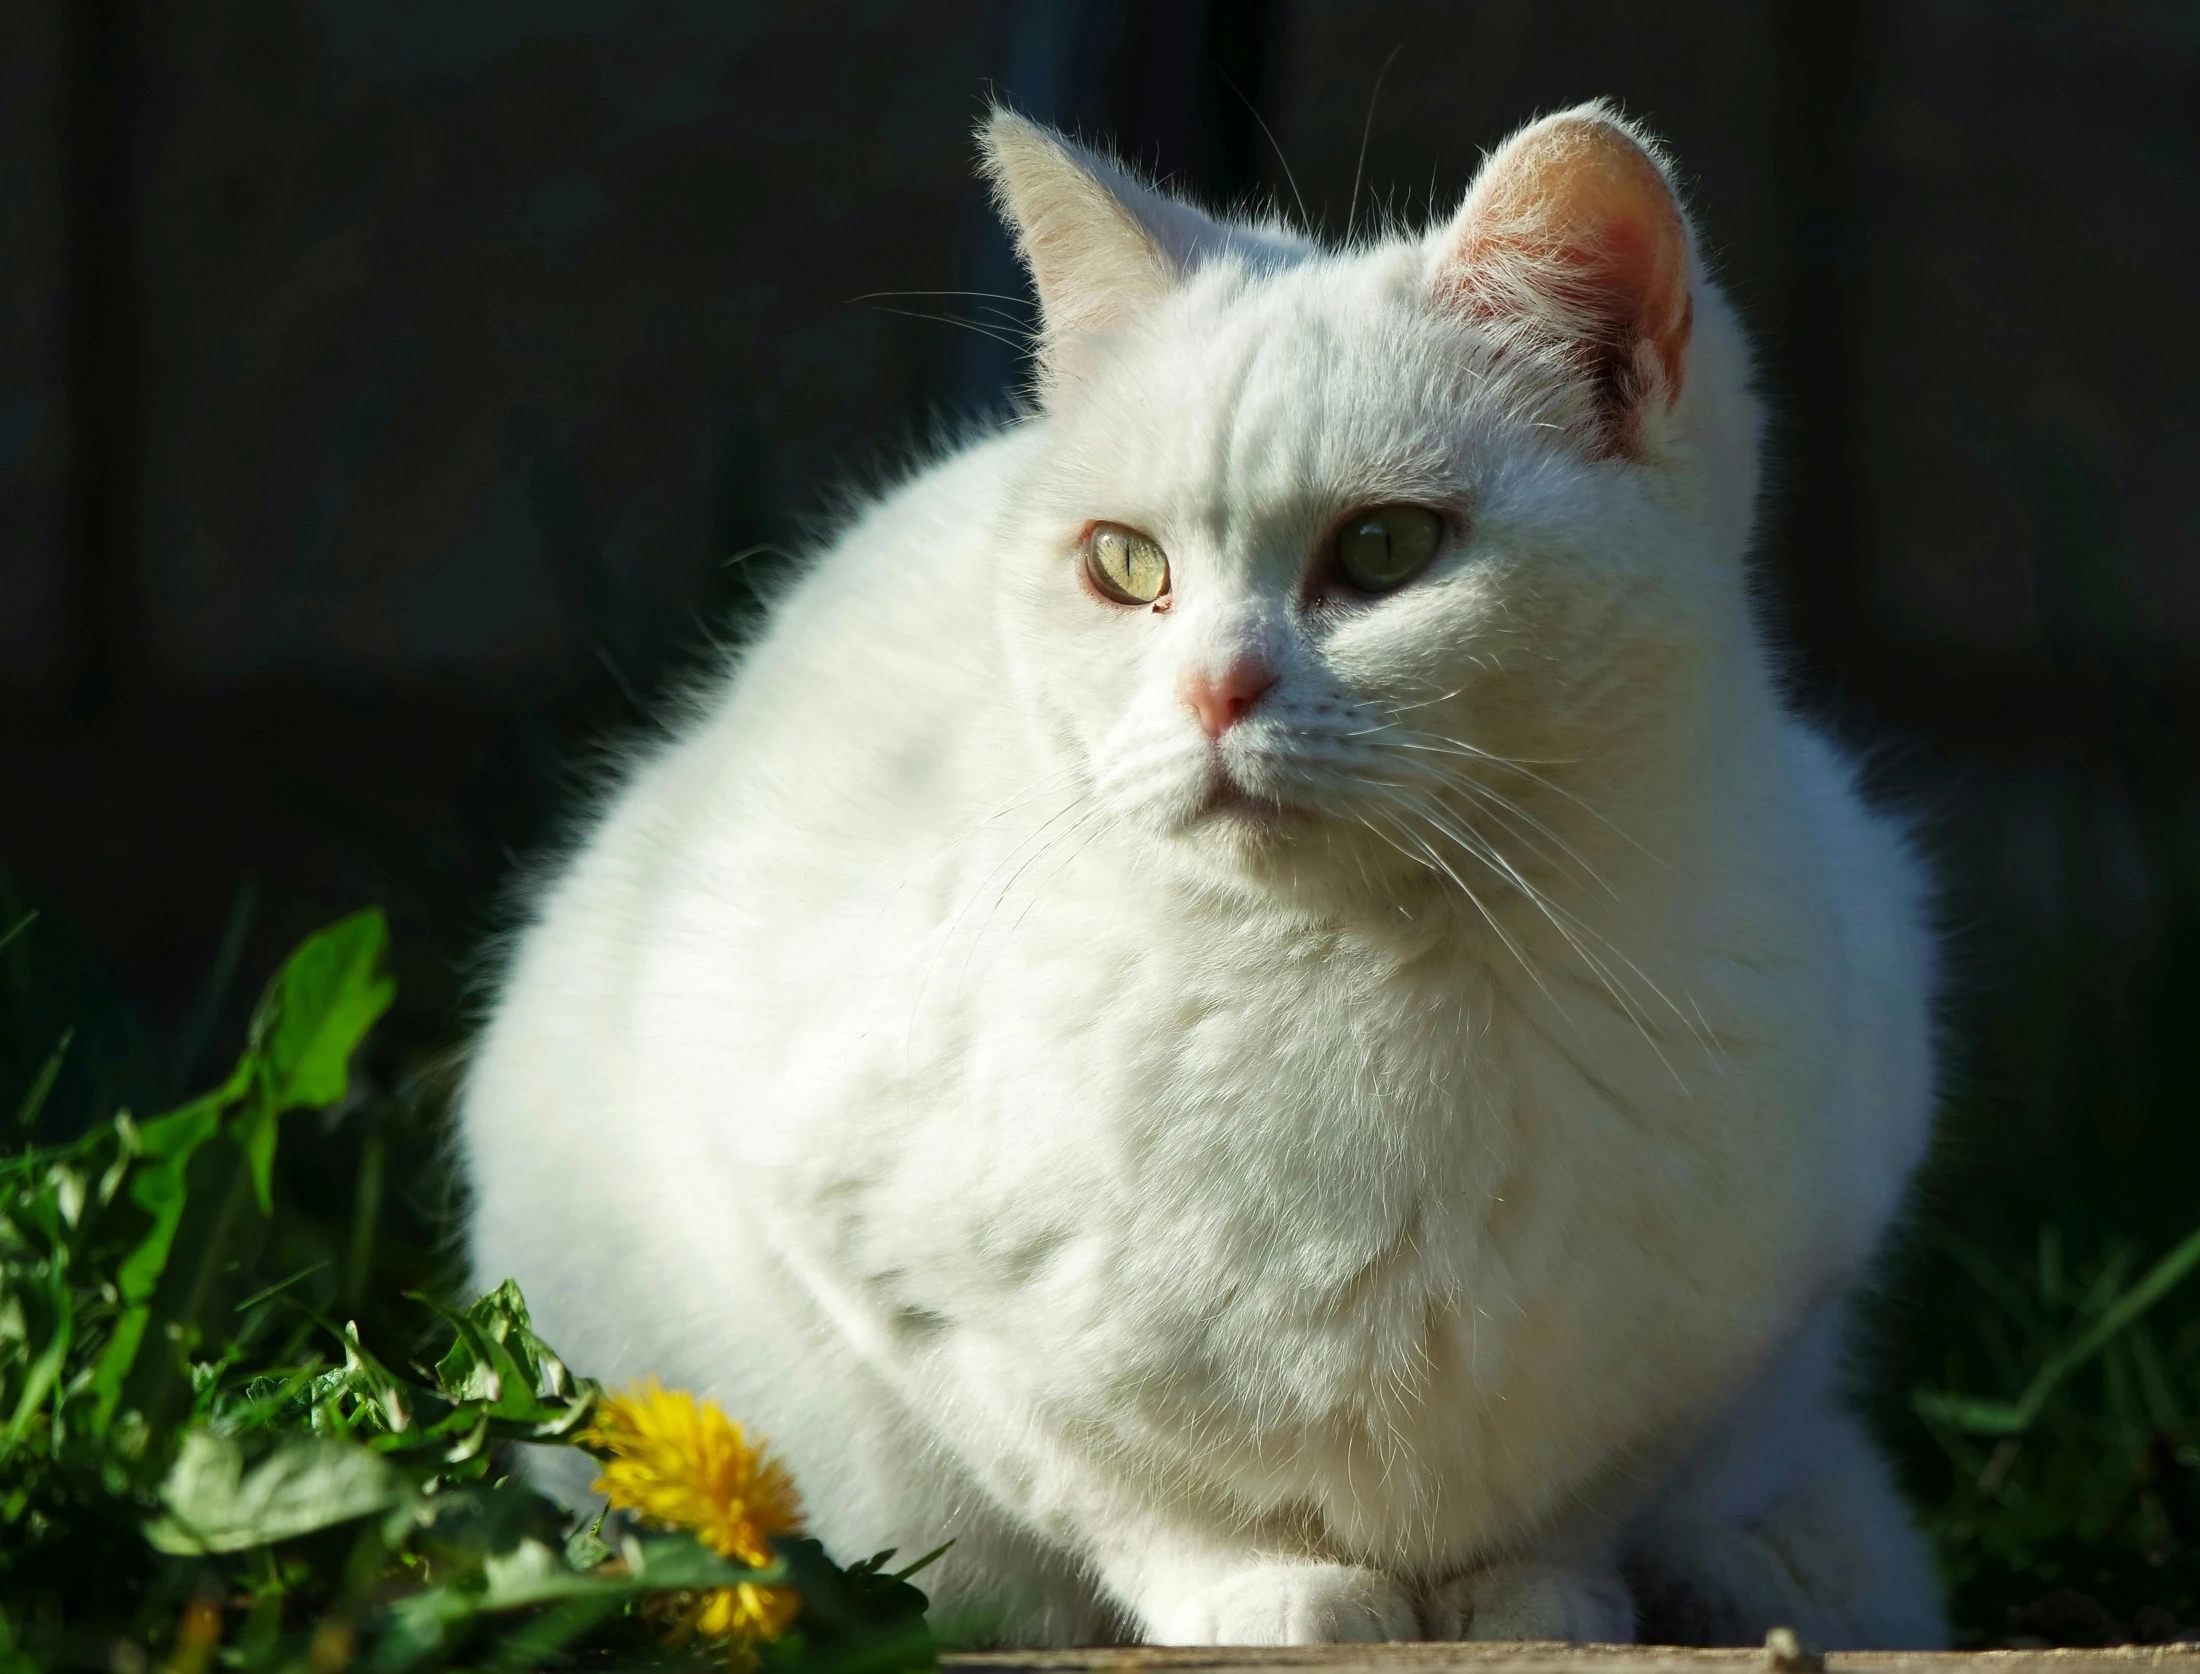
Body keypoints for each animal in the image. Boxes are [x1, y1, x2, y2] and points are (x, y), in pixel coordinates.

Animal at [464, 104, 1944, 1645]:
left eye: (1388, 548)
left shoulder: (1759, 1314)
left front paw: (1534, 1600)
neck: (1372, 984)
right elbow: (1110, 1479)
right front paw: (1264, 1587)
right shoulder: (871, 1256)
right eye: (1124, 565)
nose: (1214, 692)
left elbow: (1588, 1490)